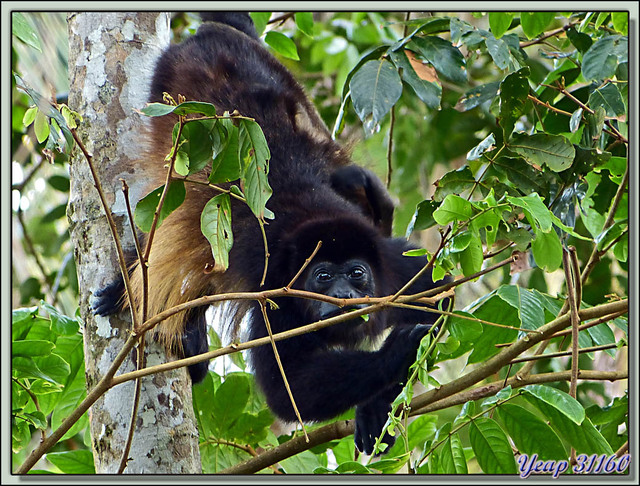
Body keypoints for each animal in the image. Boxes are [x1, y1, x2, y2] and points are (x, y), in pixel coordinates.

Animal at [94, 12, 448, 455]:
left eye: (357, 273)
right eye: (322, 277)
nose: (344, 295)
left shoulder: (394, 268)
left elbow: (441, 295)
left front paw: (375, 408)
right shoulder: (276, 292)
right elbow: (288, 389)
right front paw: (400, 351)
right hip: (170, 90)